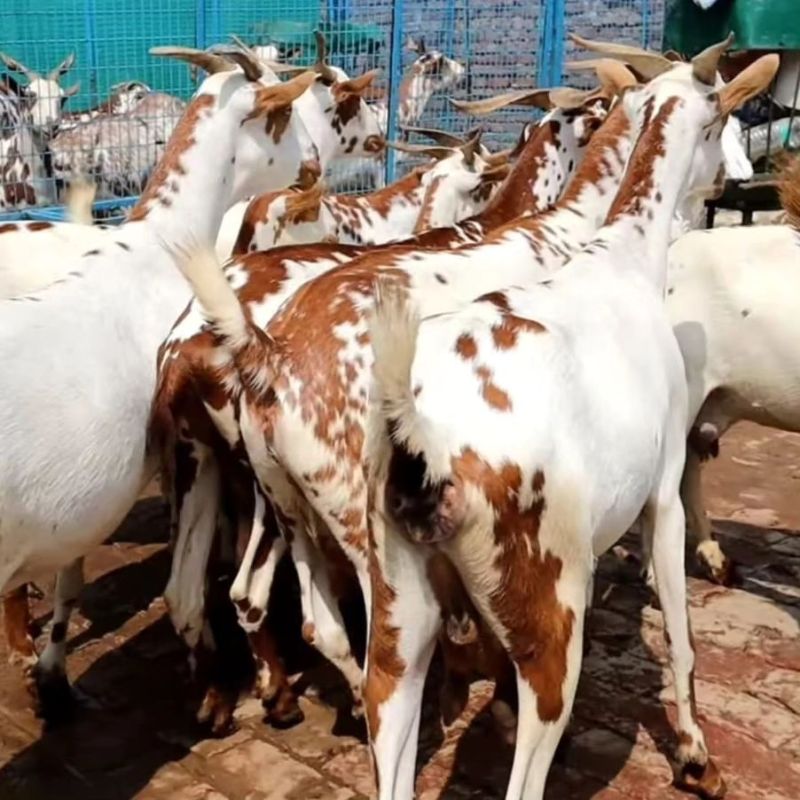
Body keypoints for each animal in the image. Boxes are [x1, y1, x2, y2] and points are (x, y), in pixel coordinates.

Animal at [0, 43, 320, 720]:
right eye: (283, 112)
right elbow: (188, 587)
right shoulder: (189, 453)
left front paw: (54, 678)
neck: (162, 245)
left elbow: (72, 577)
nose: (311, 166)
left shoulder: (80, 506)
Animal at [366, 47, 780, 800]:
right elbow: (679, 631)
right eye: (727, 119)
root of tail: (426, 443)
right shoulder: (663, 492)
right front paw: (695, 752)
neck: (622, 256)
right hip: (551, 612)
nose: (730, 183)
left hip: (397, 617)